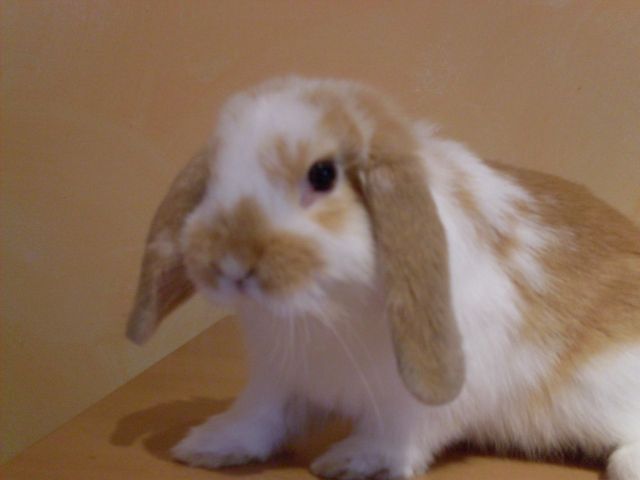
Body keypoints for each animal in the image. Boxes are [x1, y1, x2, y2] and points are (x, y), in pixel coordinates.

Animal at [127, 77, 640, 480]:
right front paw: (206, 445)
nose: (230, 262)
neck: (324, 310)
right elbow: (260, 416)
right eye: (214, 175)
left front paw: (350, 461)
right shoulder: (278, 376)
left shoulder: (418, 401)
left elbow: (398, 435)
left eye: (323, 174)